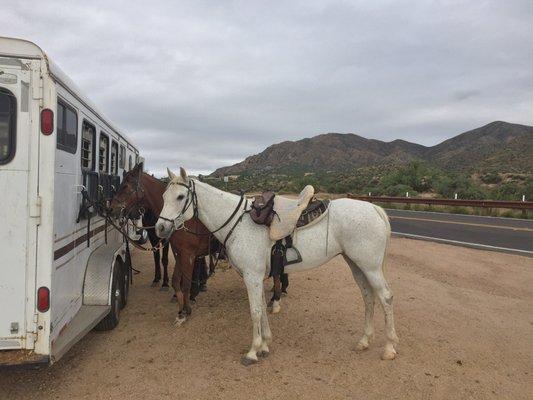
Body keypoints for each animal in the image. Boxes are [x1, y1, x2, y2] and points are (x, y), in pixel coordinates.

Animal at [108, 164, 214, 324]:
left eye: (125, 186)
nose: (111, 209)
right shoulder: (169, 245)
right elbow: (165, 265)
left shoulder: (180, 249)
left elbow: (169, 264)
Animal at [156, 167, 396, 364]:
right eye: (164, 196)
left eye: (180, 197)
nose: (160, 228)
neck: (238, 222)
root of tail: (375, 209)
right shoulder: (256, 277)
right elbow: (262, 307)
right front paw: (264, 345)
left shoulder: (251, 276)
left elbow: (255, 311)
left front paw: (252, 351)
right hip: (356, 265)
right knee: (368, 296)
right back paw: (364, 341)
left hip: (370, 267)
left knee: (385, 297)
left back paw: (389, 348)